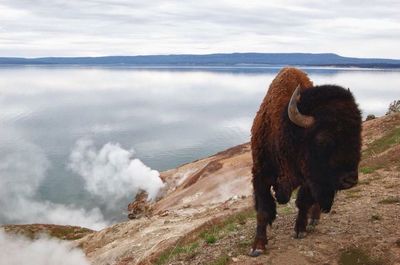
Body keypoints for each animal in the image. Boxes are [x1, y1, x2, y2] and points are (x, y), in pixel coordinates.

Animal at [248, 67, 360, 255]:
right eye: (323, 139)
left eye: (358, 135)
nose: (350, 180)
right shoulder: (260, 175)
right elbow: (263, 210)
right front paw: (258, 246)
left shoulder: (309, 180)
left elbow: (303, 202)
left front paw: (299, 230)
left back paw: (313, 220)